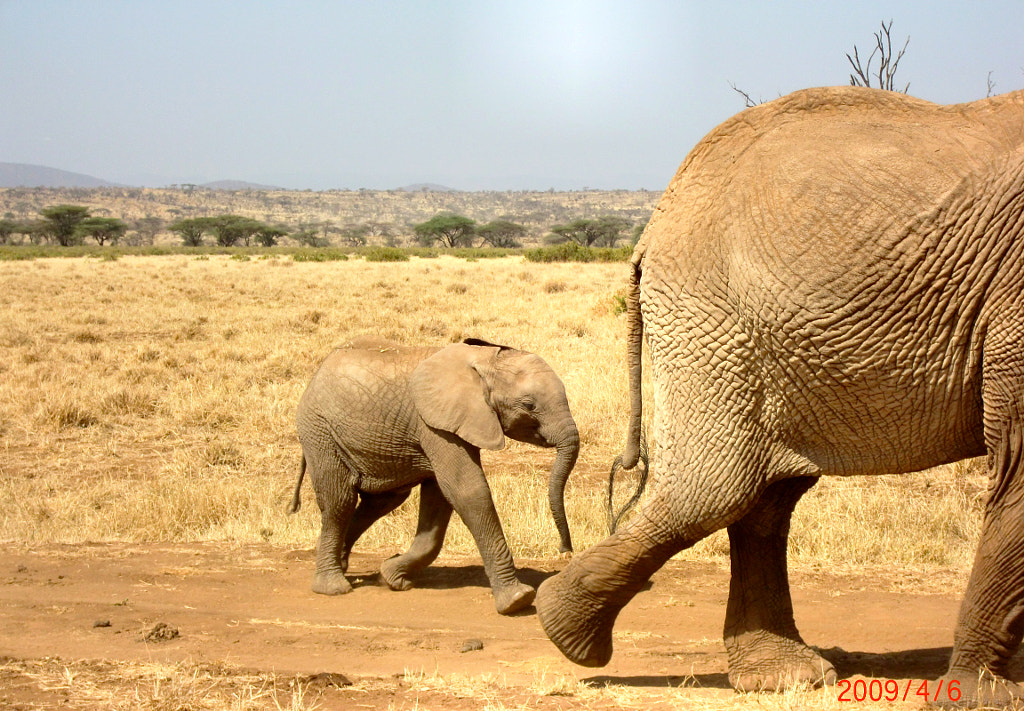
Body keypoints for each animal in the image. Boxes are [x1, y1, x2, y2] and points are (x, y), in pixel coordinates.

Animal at [292, 336, 581, 614]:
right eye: (529, 405)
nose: (565, 550)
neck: (485, 360)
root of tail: (315, 375)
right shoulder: (434, 424)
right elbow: (467, 490)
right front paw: (517, 601)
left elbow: (440, 500)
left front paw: (392, 578)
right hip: (319, 430)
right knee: (339, 502)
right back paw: (332, 587)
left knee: (382, 501)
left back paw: (343, 564)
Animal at [532, 86, 1024, 704]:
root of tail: (655, 224)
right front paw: (985, 698)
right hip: (715, 319)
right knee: (714, 492)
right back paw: (565, 630)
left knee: (765, 496)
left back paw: (779, 674)